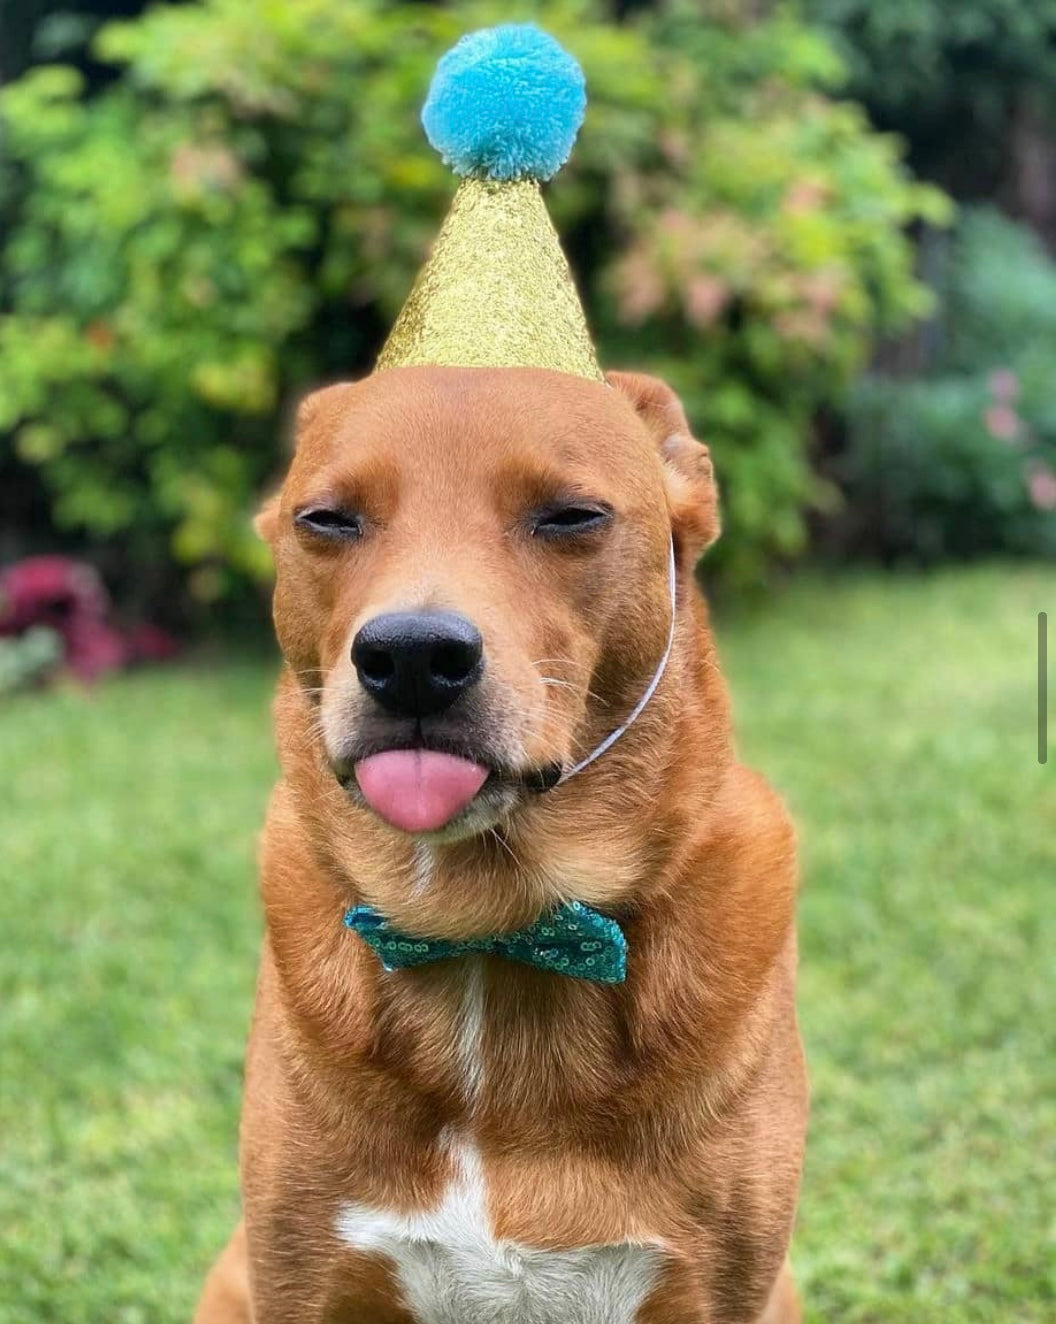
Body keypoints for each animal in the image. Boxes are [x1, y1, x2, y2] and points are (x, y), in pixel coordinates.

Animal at [195, 365, 809, 1324]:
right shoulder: (304, 1279)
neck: (488, 930)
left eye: (571, 516)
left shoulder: (723, 1291)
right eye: (326, 519)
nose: (411, 657)